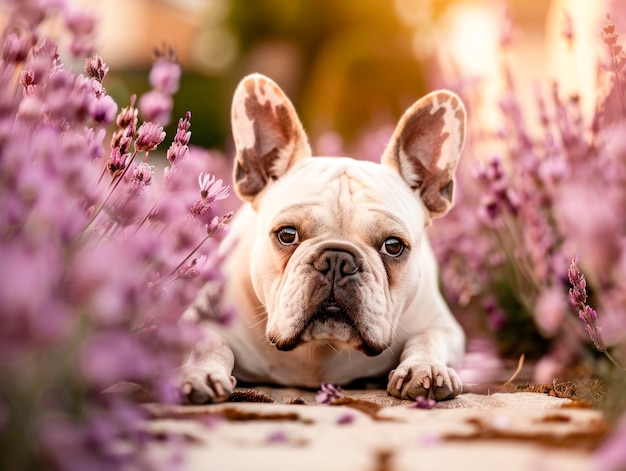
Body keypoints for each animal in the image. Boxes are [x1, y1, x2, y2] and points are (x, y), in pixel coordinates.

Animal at [178, 72, 466, 404]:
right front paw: (201, 374)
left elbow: (427, 339)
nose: (337, 260)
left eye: (393, 246)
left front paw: (425, 368)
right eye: (287, 234)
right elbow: (211, 343)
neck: (318, 352)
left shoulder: (444, 327)